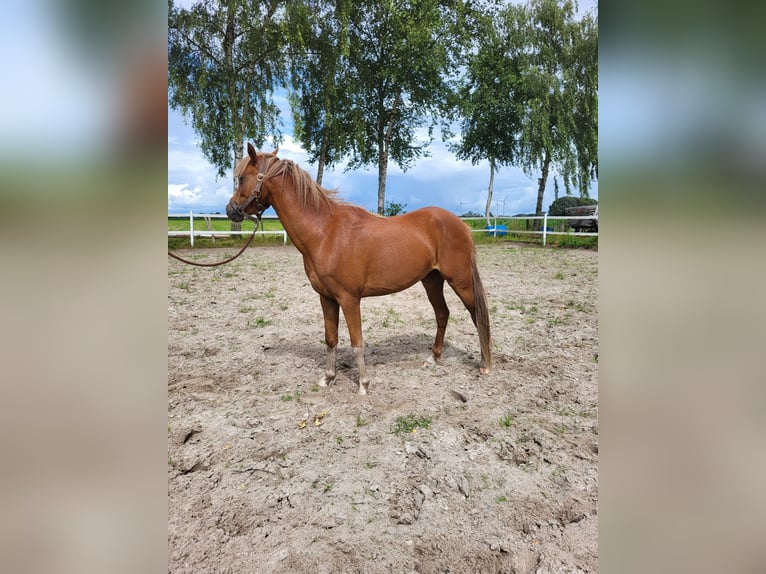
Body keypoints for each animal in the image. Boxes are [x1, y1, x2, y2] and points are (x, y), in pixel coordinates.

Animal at [228, 144, 492, 396]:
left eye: (242, 178)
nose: (231, 210)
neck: (324, 232)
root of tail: (461, 225)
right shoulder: (326, 298)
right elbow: (331, 339)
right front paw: (328, 378)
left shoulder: (349, 299)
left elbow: (357, 342)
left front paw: (364, 384)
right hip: (432, 280)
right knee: (442, 314)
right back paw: (433, 358)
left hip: (460, 281)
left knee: (477, 315)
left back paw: (485, 364)